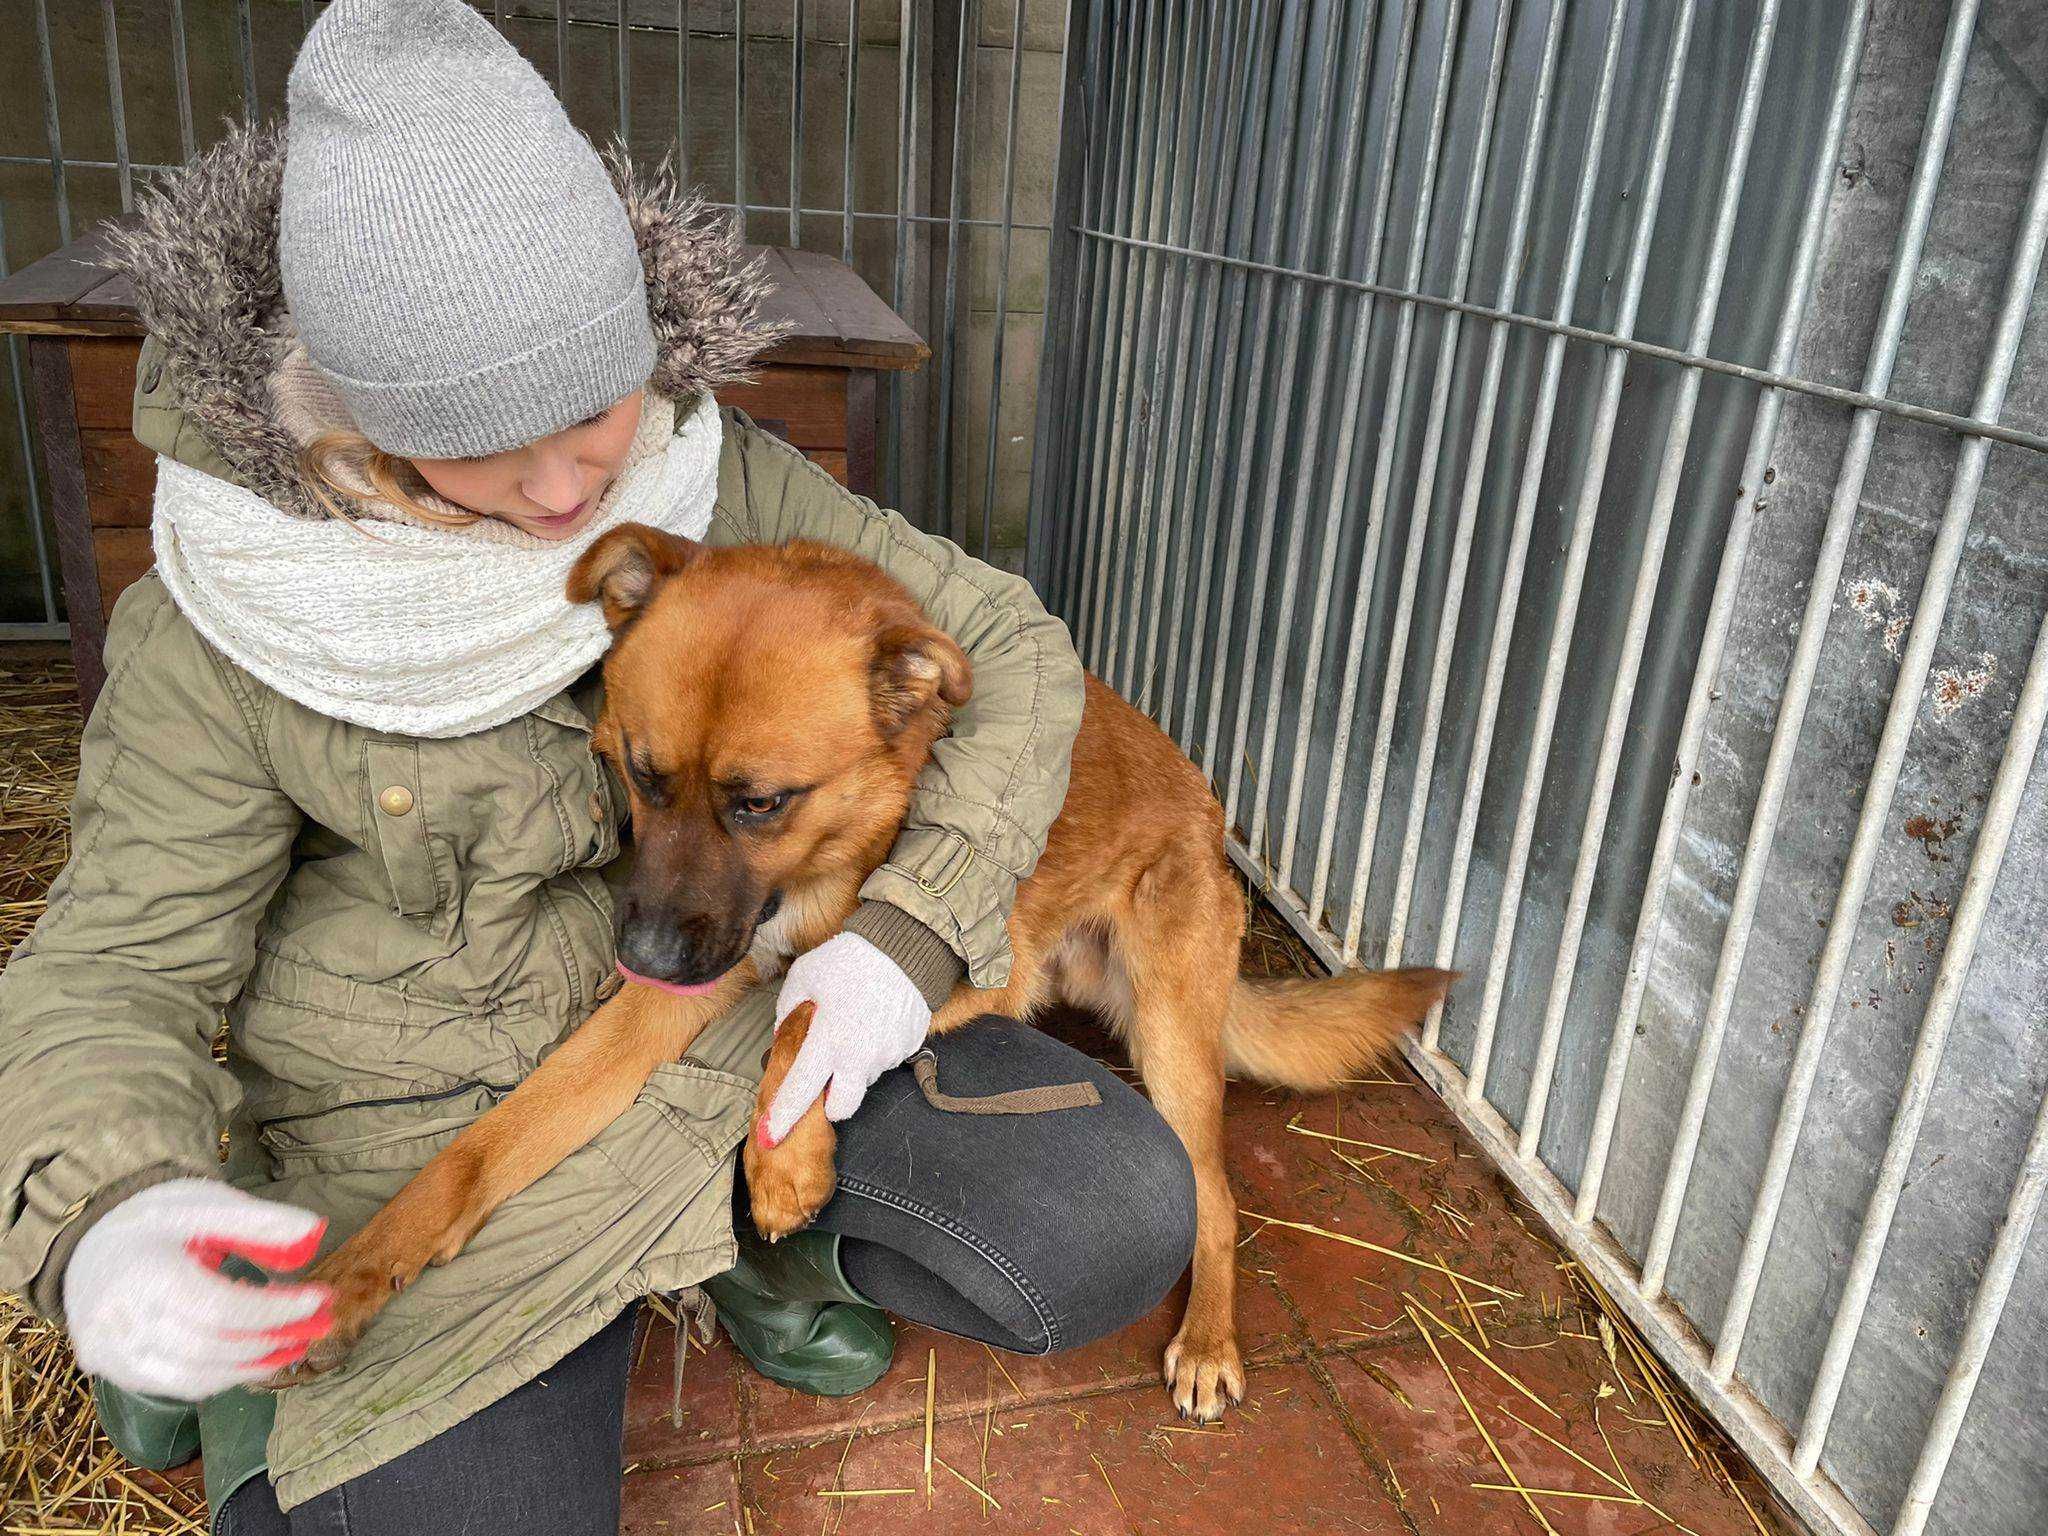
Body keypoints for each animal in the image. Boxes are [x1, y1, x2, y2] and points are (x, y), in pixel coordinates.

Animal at [292, 528, 1458, 1417]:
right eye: (639, 773)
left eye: (760, 801)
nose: (644, 962)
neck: (837, 850)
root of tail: (1209, 816)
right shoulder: (675, 993)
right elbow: (484, 1149)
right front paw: (357, 1273)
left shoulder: (966, 971)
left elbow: (809, 1008)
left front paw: (784, 1163)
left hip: (1172, 1028)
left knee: (1213, 1193)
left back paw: (1209, 1343)